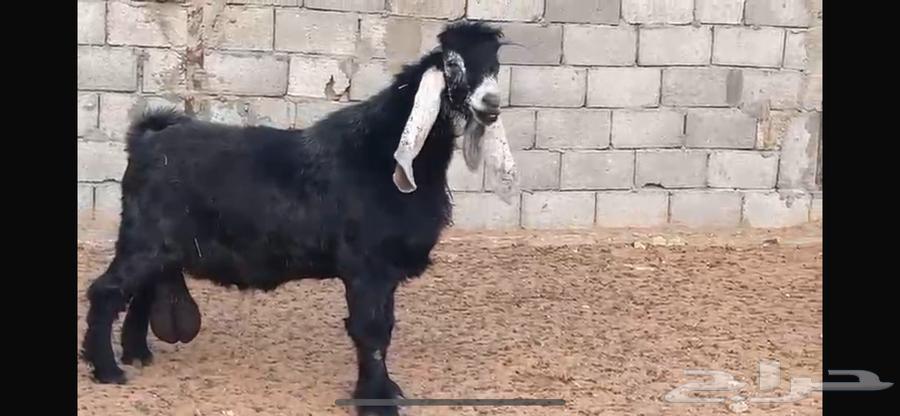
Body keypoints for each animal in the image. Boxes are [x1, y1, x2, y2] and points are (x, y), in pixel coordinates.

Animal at [80, 21, 517, 416]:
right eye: (453, 64)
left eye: (495, 65)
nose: (491, 104)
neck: (379, 152)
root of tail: (146, 138)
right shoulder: (368, 267)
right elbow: (372, 331)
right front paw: (377, 401)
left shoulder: (384, 271)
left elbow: (384, 328)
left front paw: (388, 391)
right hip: (144, 237)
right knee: (107, 291)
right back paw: (108, 370)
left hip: (157, 245)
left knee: (141, 288)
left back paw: (137, 354)